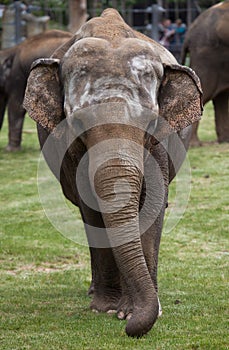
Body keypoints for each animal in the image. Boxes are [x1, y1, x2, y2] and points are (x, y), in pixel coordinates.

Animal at [23, 8, 202, 336]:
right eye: (78, 123)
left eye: (151, 122)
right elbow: (91, 207)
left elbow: (152, 206)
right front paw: (107, 309)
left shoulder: (161, 141)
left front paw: (138, 311)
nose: (131, 329)